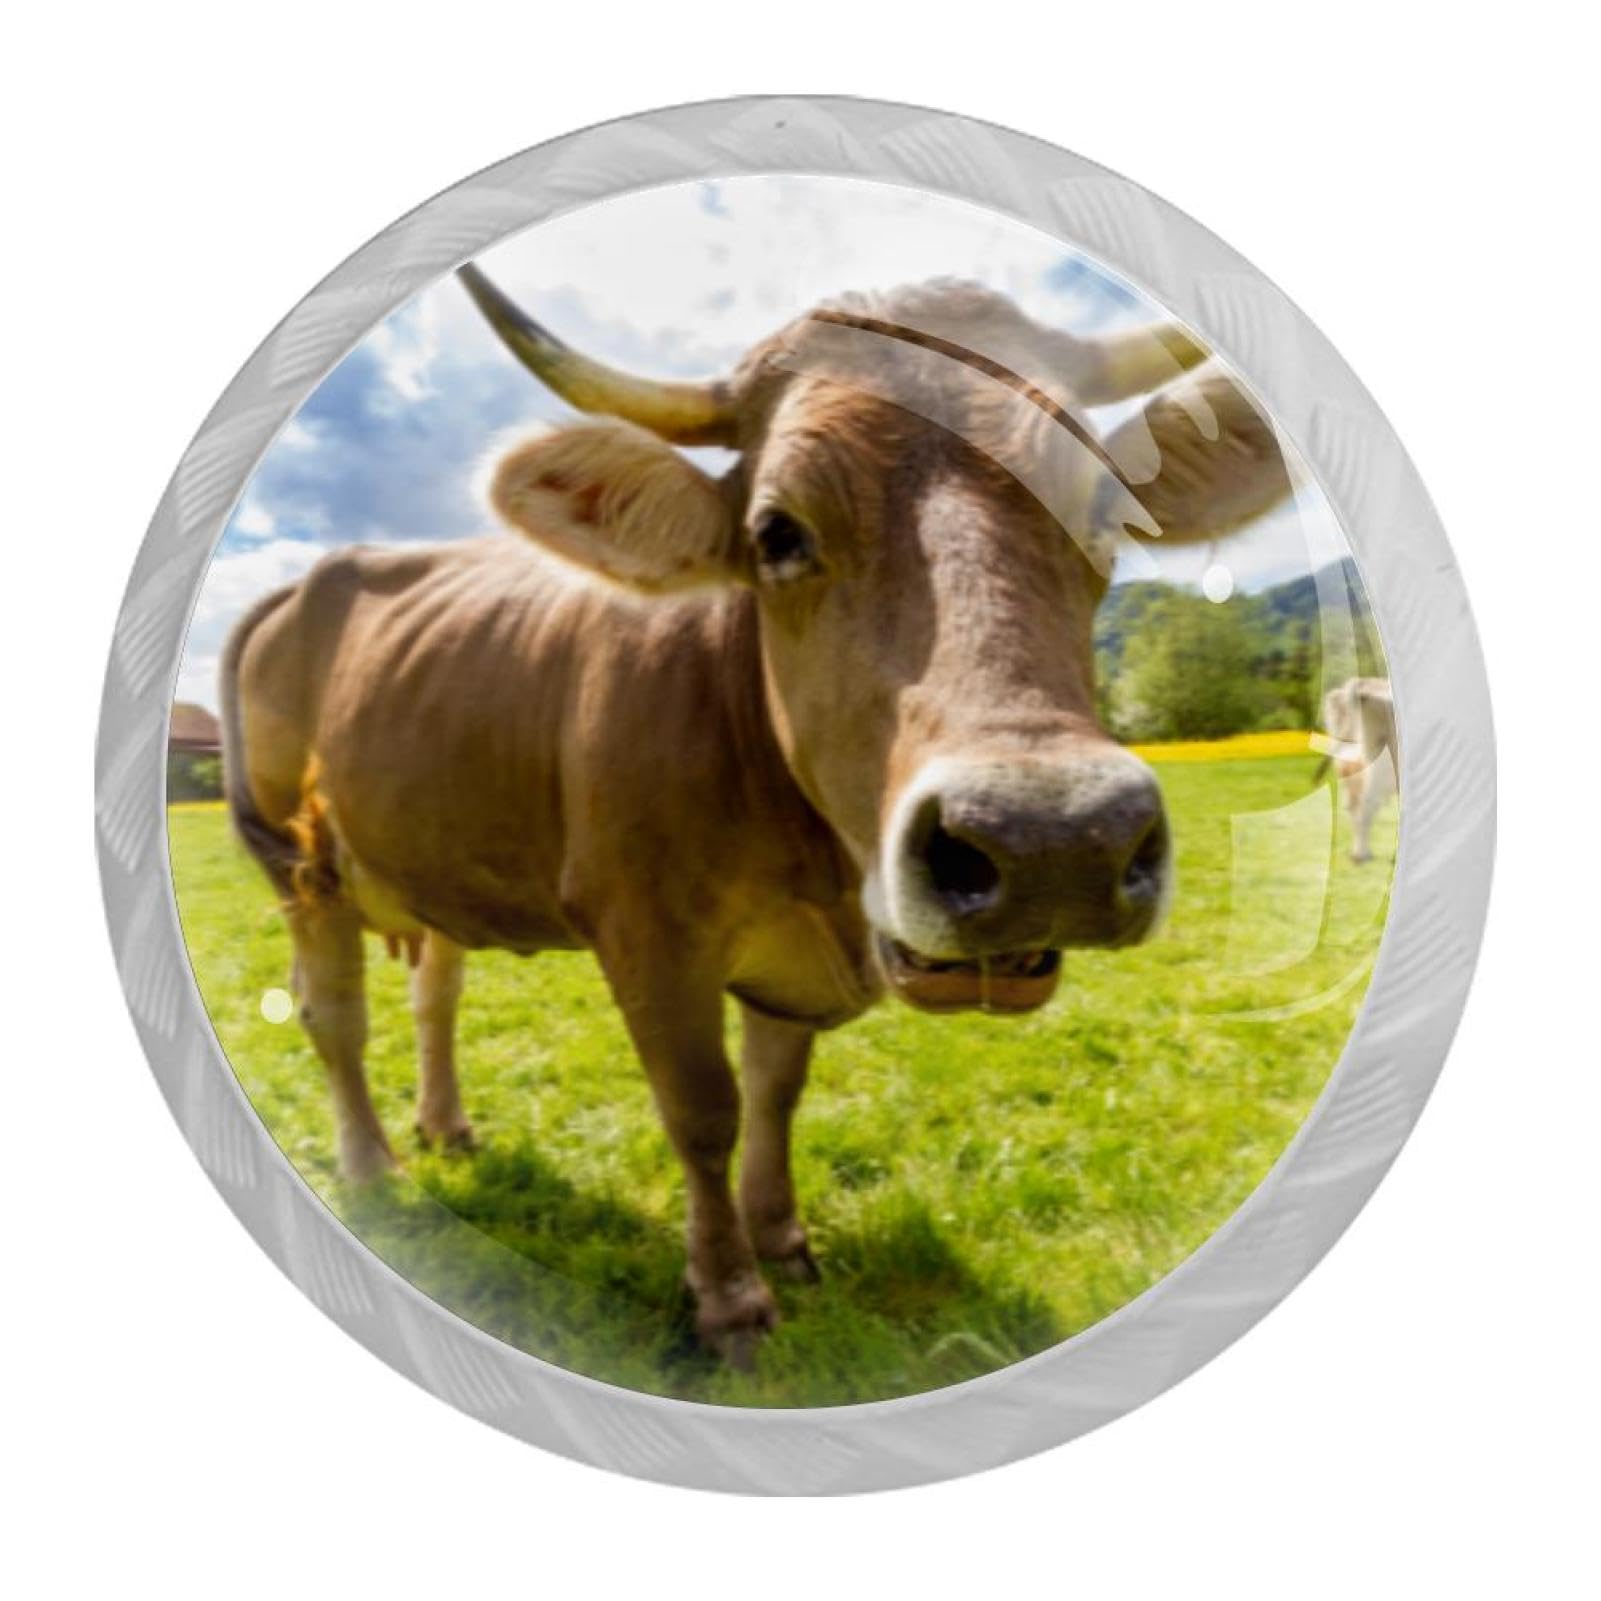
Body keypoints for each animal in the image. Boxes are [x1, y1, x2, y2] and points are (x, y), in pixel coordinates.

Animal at [220, 269, 1293, 1361]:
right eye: (777, 531)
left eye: (1106, 510)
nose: (1051, 843)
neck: (813, 867)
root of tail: (308, 580)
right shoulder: (645, 933)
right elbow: (703, 1109)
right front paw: (731, 1298)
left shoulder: (789, 961)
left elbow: (776, 1090)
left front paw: (780, 1236)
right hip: (300, 864)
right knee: (333, 1015)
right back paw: (371, 1166)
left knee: (433, 992)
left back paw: (444, 1126)